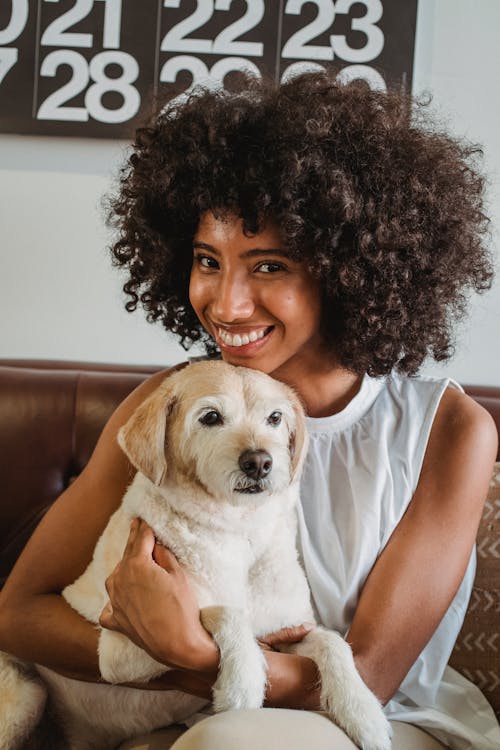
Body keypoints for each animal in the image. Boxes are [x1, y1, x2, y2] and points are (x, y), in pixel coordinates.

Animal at [0, 362, 390, 750]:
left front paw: (365, 713)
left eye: (275, 418)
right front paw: (242, 680)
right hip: (28, 695)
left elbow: (334, 643)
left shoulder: (288, 630)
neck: (238, 533)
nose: (259, 462)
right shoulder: (121, 648)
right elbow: (222, 611)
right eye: (211, 417)